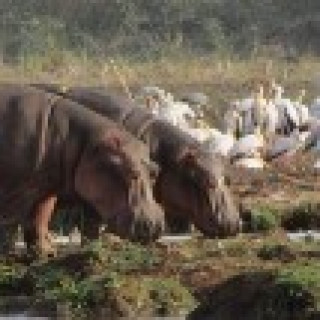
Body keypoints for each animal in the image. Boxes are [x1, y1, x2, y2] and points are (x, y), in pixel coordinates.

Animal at [0, 84, 164, 255]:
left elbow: (40, 217)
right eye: (132, 173)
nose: (156, 226)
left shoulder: (45, 188)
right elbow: (8, 224)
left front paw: (47, 253)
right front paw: (8, 256)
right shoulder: (14, 192)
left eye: (155, 171)